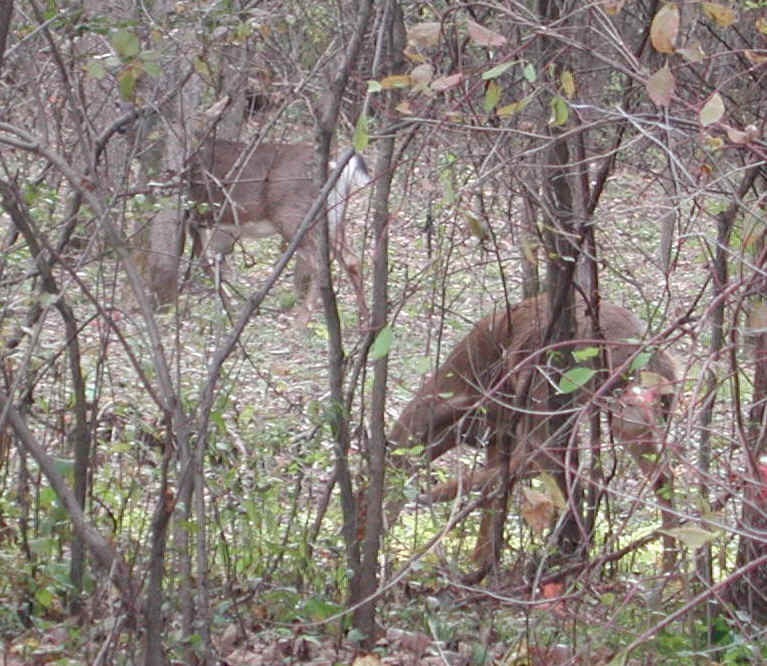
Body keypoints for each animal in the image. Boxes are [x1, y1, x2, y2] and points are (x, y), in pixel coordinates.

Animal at [187, 139, 371, 319]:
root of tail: (333, 165)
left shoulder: (192, 214)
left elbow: (204, 261)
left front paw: (229, 307)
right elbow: (210, 261)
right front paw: (230, 305)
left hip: (295, 217)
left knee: (320, 266)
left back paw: (301, 321)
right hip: (333, 217)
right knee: (351, 259)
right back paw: (363, 317)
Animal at [388, 293, 678, 575]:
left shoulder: (503, 419)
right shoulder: (497, 434)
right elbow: (498, 499)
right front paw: (482, 560)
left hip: (544, 389)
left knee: (550, 462)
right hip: (626, 405)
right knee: (661, 475)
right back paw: (670, 568)